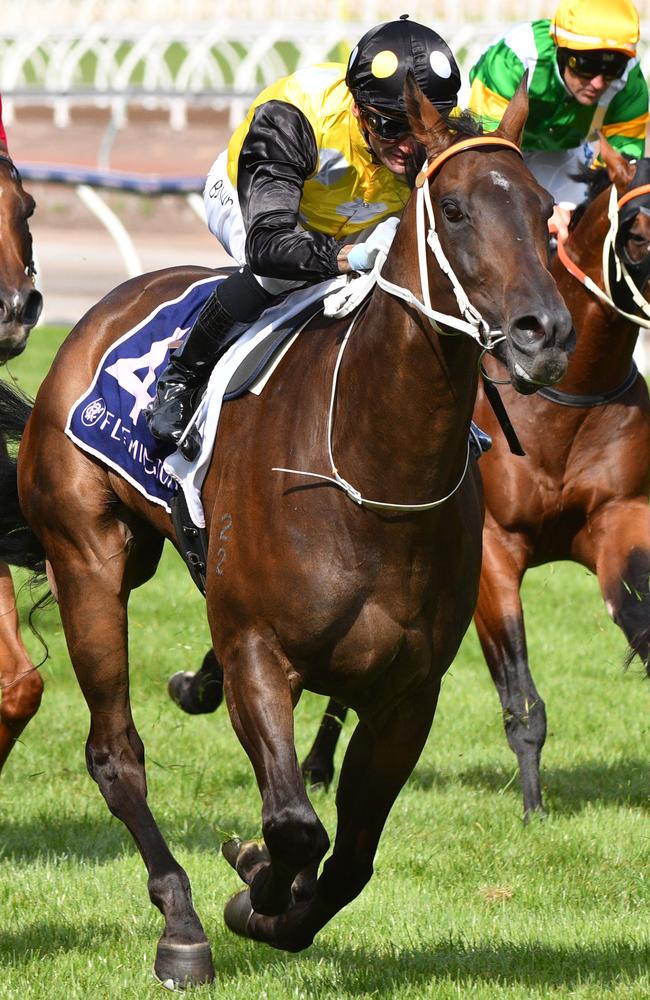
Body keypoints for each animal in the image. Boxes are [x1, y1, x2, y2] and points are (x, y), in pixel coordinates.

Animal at [0, 82, 568, 988]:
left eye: (546, 210)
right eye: (453, 209)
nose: (544, 333)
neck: (376, 469)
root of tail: (101, 312)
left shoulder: (410, 694)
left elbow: (350, 856)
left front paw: (275, 897)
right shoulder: (259, 654)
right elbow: (297, 826)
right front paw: (253, 888)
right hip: (88, 554)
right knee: (115, 751)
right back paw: (181, 923)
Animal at [296, 137, 648, 816]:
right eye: (640, 236)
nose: (547, 335)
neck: (566, 402)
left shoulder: (618, 522)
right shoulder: (494, 551)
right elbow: (521, 698)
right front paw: (534, 810)